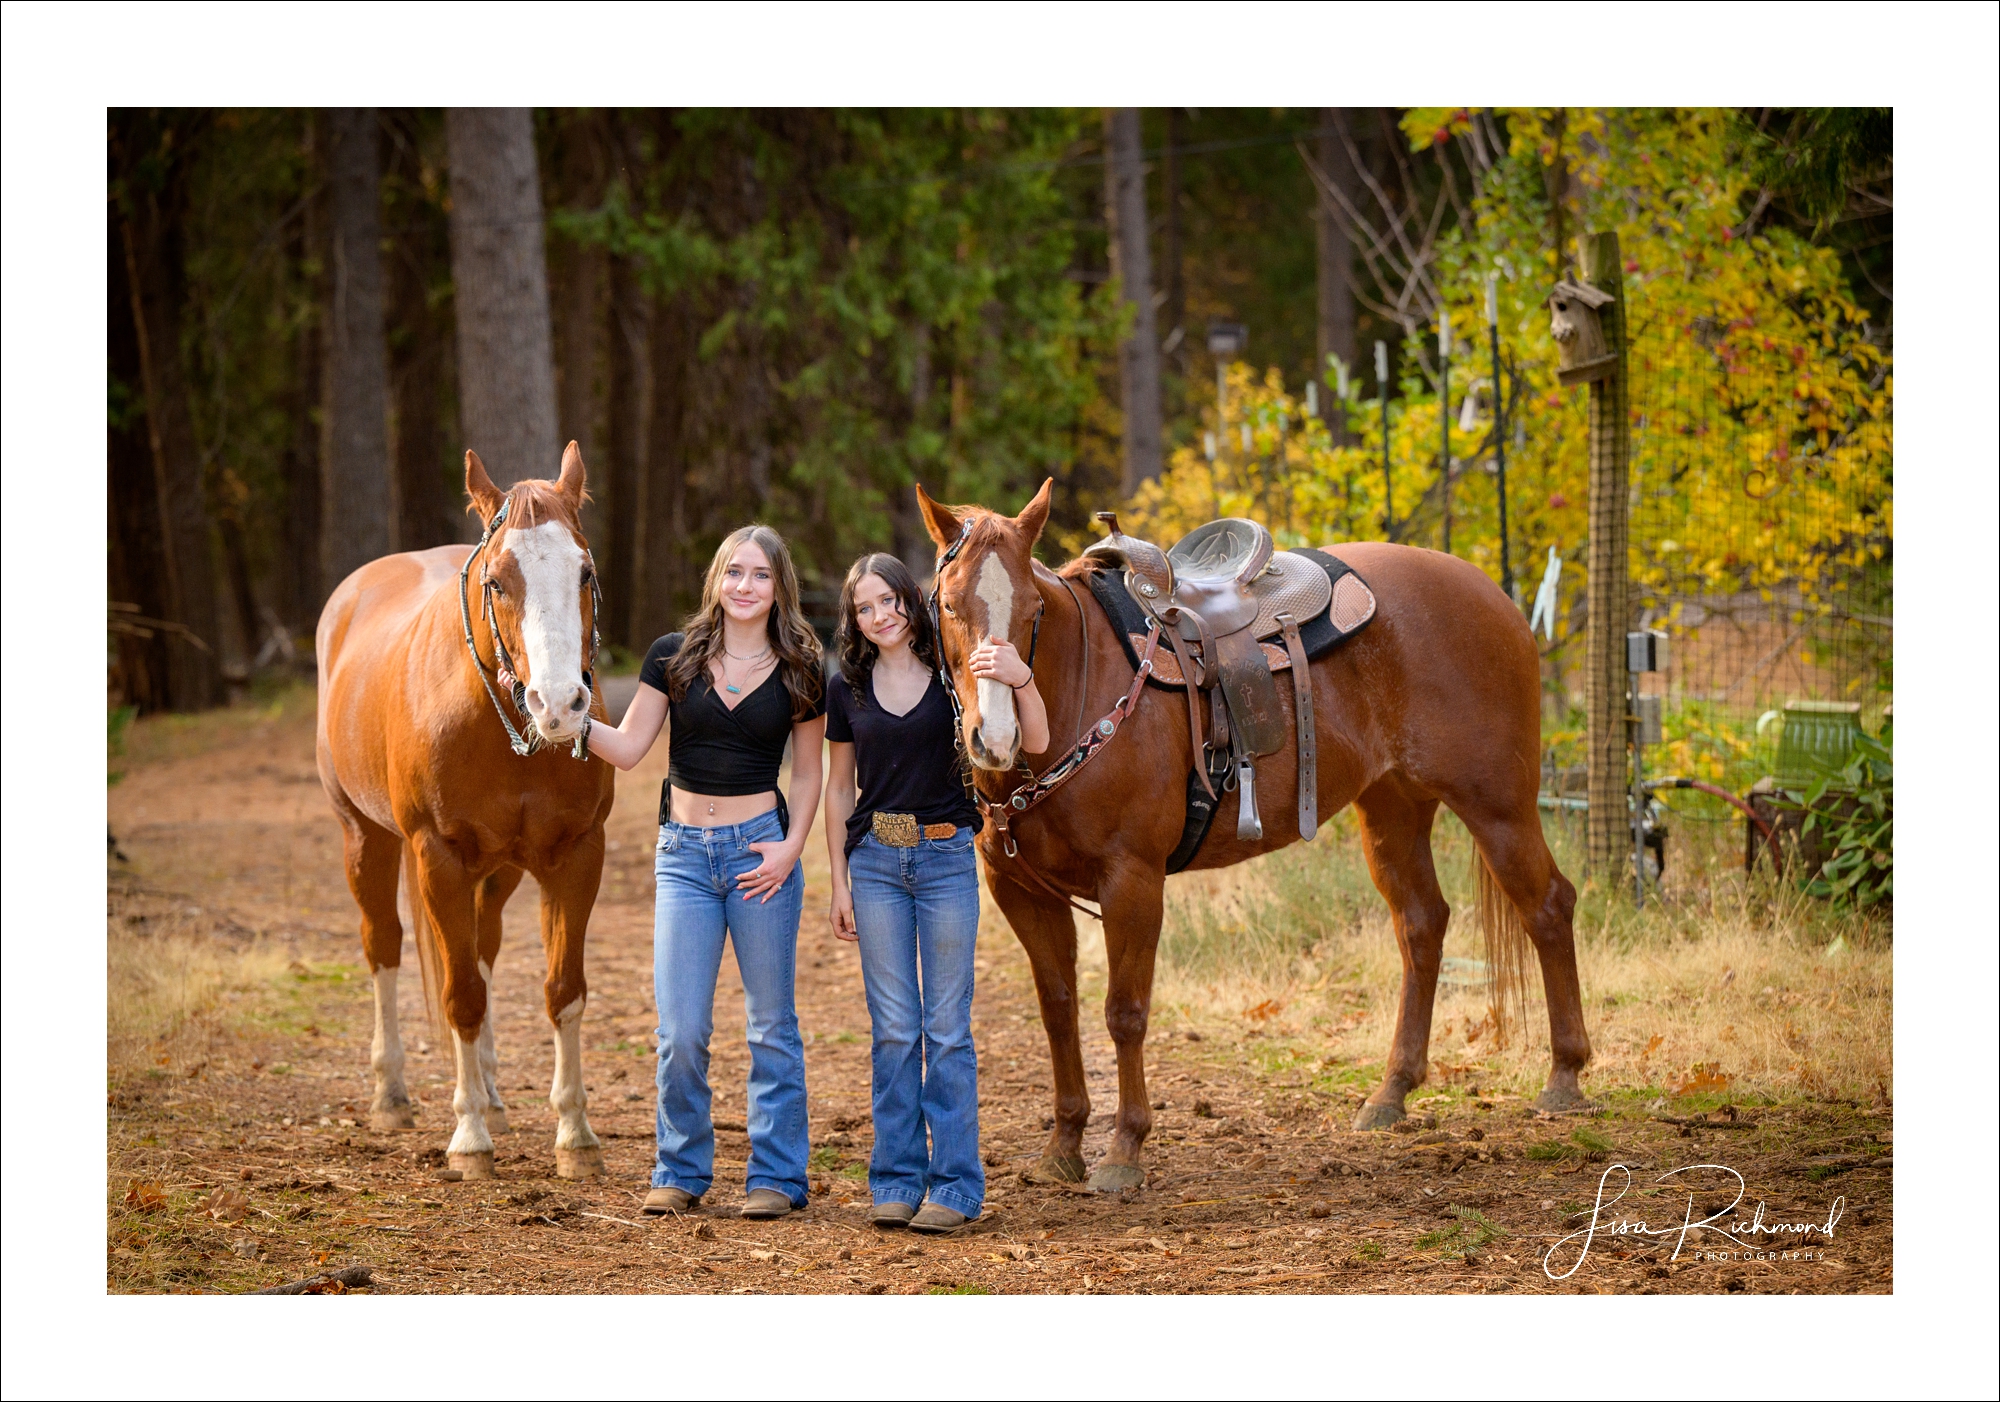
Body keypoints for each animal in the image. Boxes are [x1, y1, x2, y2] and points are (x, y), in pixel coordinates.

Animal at [316, 442, 612, 1176]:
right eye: (497, 582)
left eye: (585, 571)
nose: (560, 706)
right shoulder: (438, 858)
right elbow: (460, 997)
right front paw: (469, 1136)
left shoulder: (576, 857)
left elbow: (562, 992)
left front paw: (575, 1135)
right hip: (365, 838)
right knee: (385, 947)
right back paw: (393, 1095)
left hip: (497, 873)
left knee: (480, 950)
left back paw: (494, 1094)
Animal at [920, 484, 1592, 1192]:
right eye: (948, 604)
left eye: (1033, 608)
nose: (994, 738)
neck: (1079, 685)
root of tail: (1493, 595)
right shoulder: (1021, 891)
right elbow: (1058, 1009)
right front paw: (1063, 1143)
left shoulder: (1132, 881)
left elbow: (1124, 1012)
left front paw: (1124, 1149)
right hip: (1393, 807)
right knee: (1422, 925)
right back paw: (1392, 1091)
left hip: (1498, 806)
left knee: (1548, 906)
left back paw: (1565, 1076)